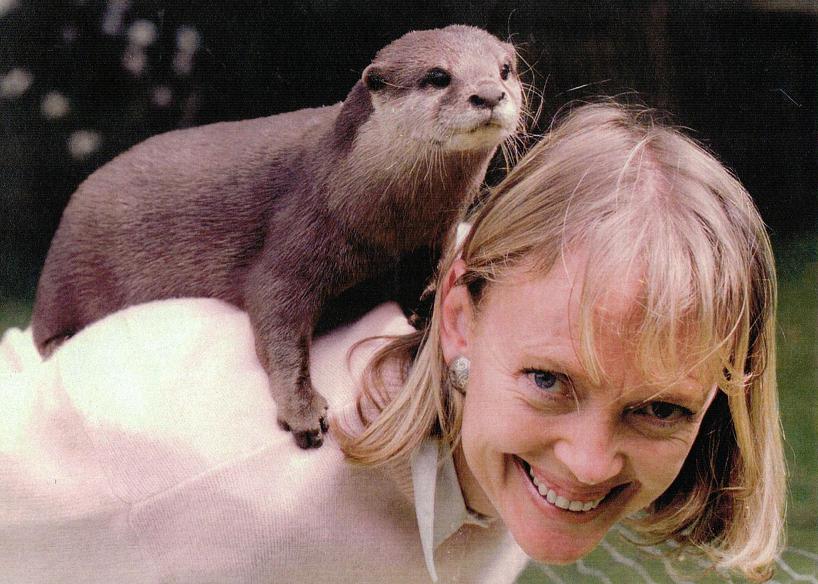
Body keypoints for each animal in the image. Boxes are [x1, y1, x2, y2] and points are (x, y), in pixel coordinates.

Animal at [31, 24, 524, 448]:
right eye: (438, 76)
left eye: (504, 69)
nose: (489, 94)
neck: (391, 223)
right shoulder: (299, 232)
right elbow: (275, 318)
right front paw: (302, 409)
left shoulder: (431, 239)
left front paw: (427, 308)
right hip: (67, 268)